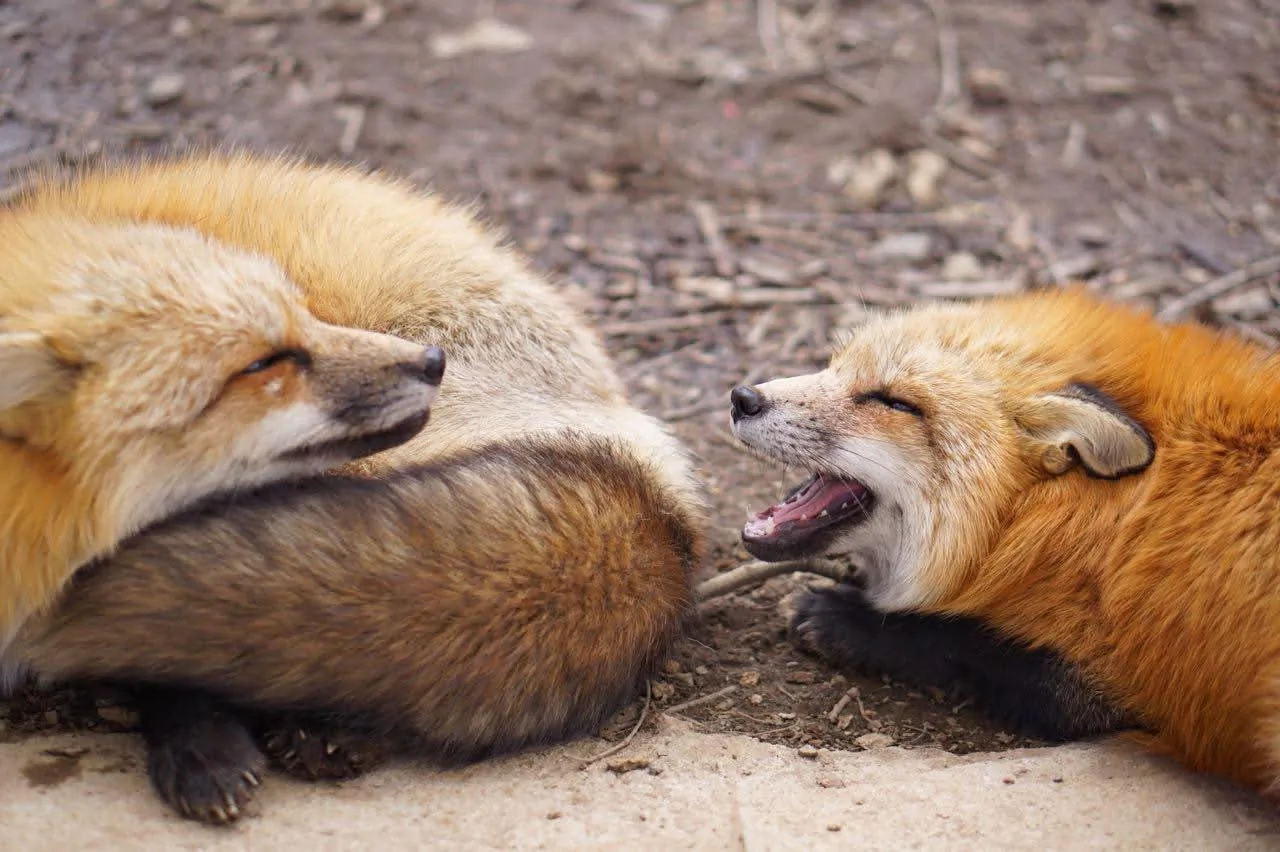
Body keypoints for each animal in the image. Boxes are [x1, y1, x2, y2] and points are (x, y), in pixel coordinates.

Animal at [726, 288, 1280, 802]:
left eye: (895, 403)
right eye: (835, 366)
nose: (741, 398)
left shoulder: (1130, 683)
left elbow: (964, 644)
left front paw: (847, 620)